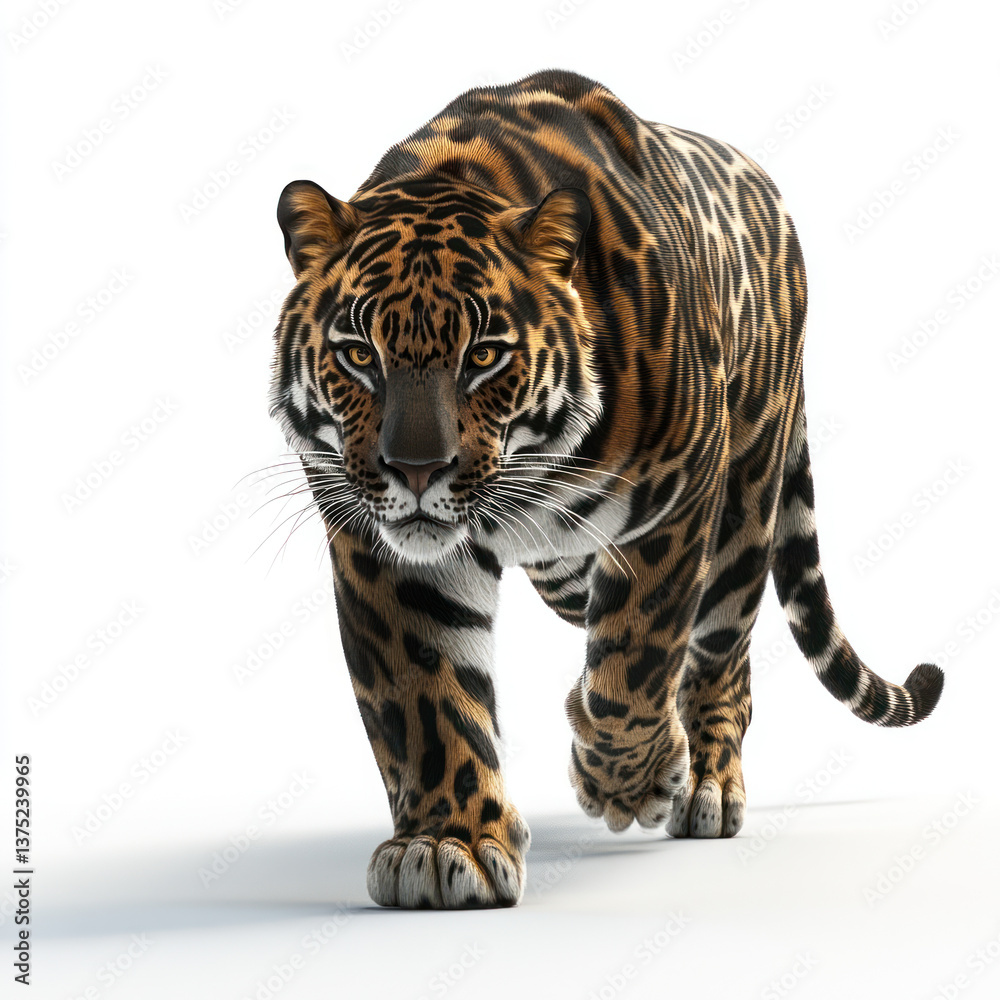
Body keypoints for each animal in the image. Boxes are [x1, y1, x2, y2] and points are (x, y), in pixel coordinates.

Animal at [268, 69, 943, 909]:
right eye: (359, 354)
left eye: (485, 355)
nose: (416, 470)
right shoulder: (380, 544)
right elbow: (426, 700)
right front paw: (447, 844)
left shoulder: (678, 497)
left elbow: (641, 652)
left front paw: (627, 783)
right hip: (563, 567)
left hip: (744, 502)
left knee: (720, 652)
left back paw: (703, 783)